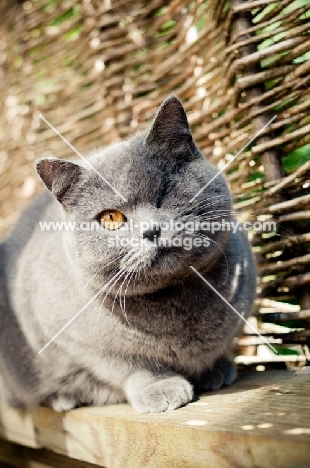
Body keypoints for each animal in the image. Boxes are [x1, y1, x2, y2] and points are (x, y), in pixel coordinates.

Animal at [0, 97, 256, 412]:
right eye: (111, 218)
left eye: (165, 191)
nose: (151, 230)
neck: (174, 298)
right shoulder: (73, 340)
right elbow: (131, 365)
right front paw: (161, 387)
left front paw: (217, 368)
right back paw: (64, 398)